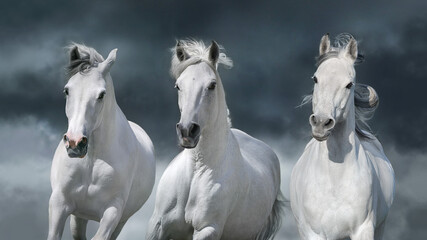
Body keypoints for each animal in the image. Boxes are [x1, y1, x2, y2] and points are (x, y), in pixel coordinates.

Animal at [48, 43, 155, 240]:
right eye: (67, 90)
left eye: (101, 95)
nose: (75, 144)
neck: (92, 159)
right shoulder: (59, 203)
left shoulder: (112, 211)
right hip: (79, 215)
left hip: (119, 221)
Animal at [147, 40, 284, 239]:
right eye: (178, 86)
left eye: (211, 85)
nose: (187, 130)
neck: (197, 171)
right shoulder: (157, 225)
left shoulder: (208, 229)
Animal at [290, 34, 396, 240]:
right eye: (315, 78)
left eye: (349, 84)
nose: (321, 123)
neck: (335, 180)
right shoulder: (314, 233)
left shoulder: (363, 230)